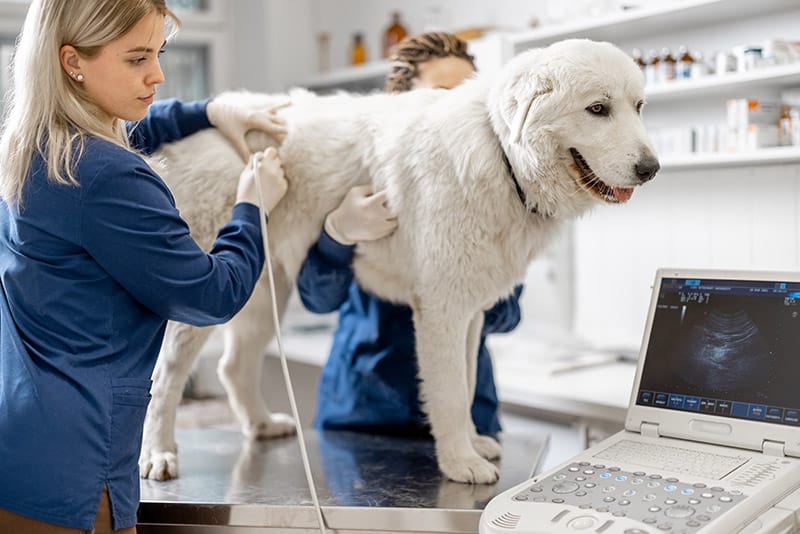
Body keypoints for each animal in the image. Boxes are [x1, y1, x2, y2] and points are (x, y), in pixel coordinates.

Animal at [139, 38, 656, 486]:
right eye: (597, 109)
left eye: (638, 107)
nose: (651, 169)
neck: (501, 153)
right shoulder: (442, 311)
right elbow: (449, 393)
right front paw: (460, 461)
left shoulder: (470, 314)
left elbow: (468, 381)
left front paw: (472, 443)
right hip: (200, 302)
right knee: (165, 379)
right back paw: (158, 453)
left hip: (265, 294)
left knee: (233, 367)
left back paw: (262, 424)